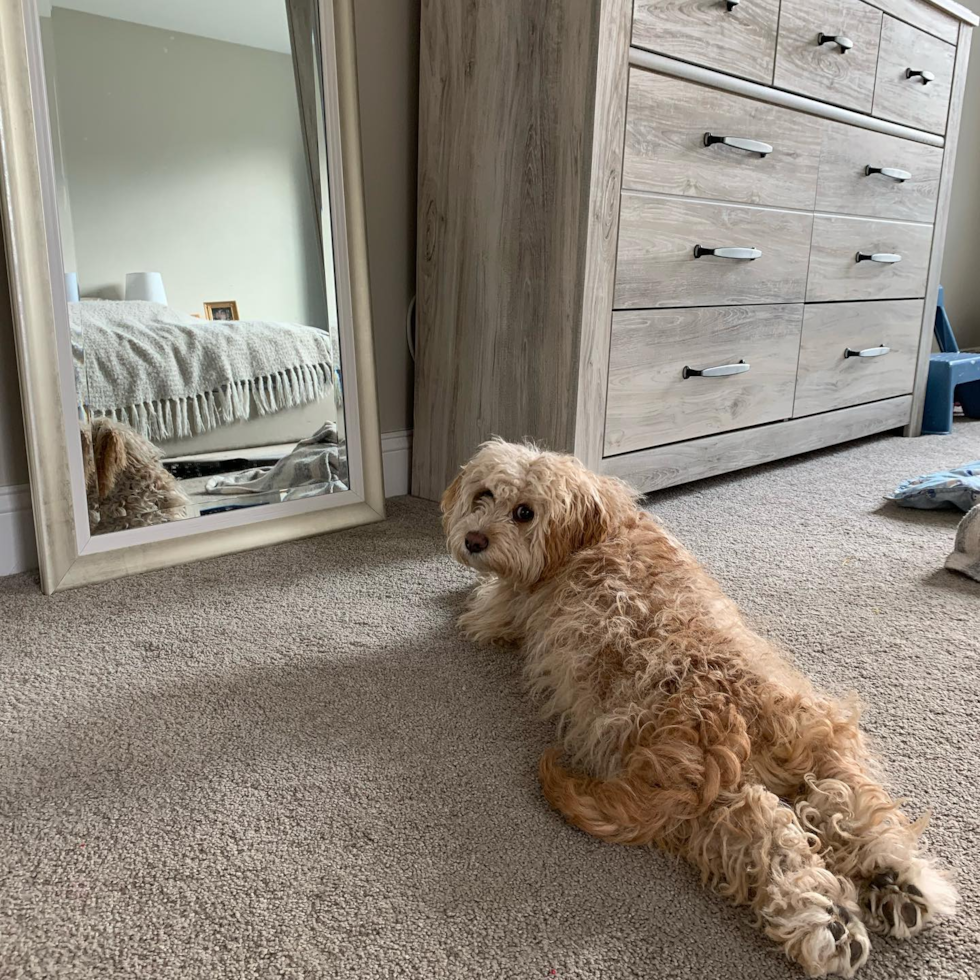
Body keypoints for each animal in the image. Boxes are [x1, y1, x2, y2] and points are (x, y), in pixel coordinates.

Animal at [440, 440, 952, 976]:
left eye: (524, 512)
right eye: (483, 495)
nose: (473, 540)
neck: (599, 534)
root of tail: (729, 715)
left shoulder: (501, 609)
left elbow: (478, 600)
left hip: (711, 807)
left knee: (767, 834)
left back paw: (823, 920)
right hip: (819, 746)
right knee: (845, 807)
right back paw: (892, 882)